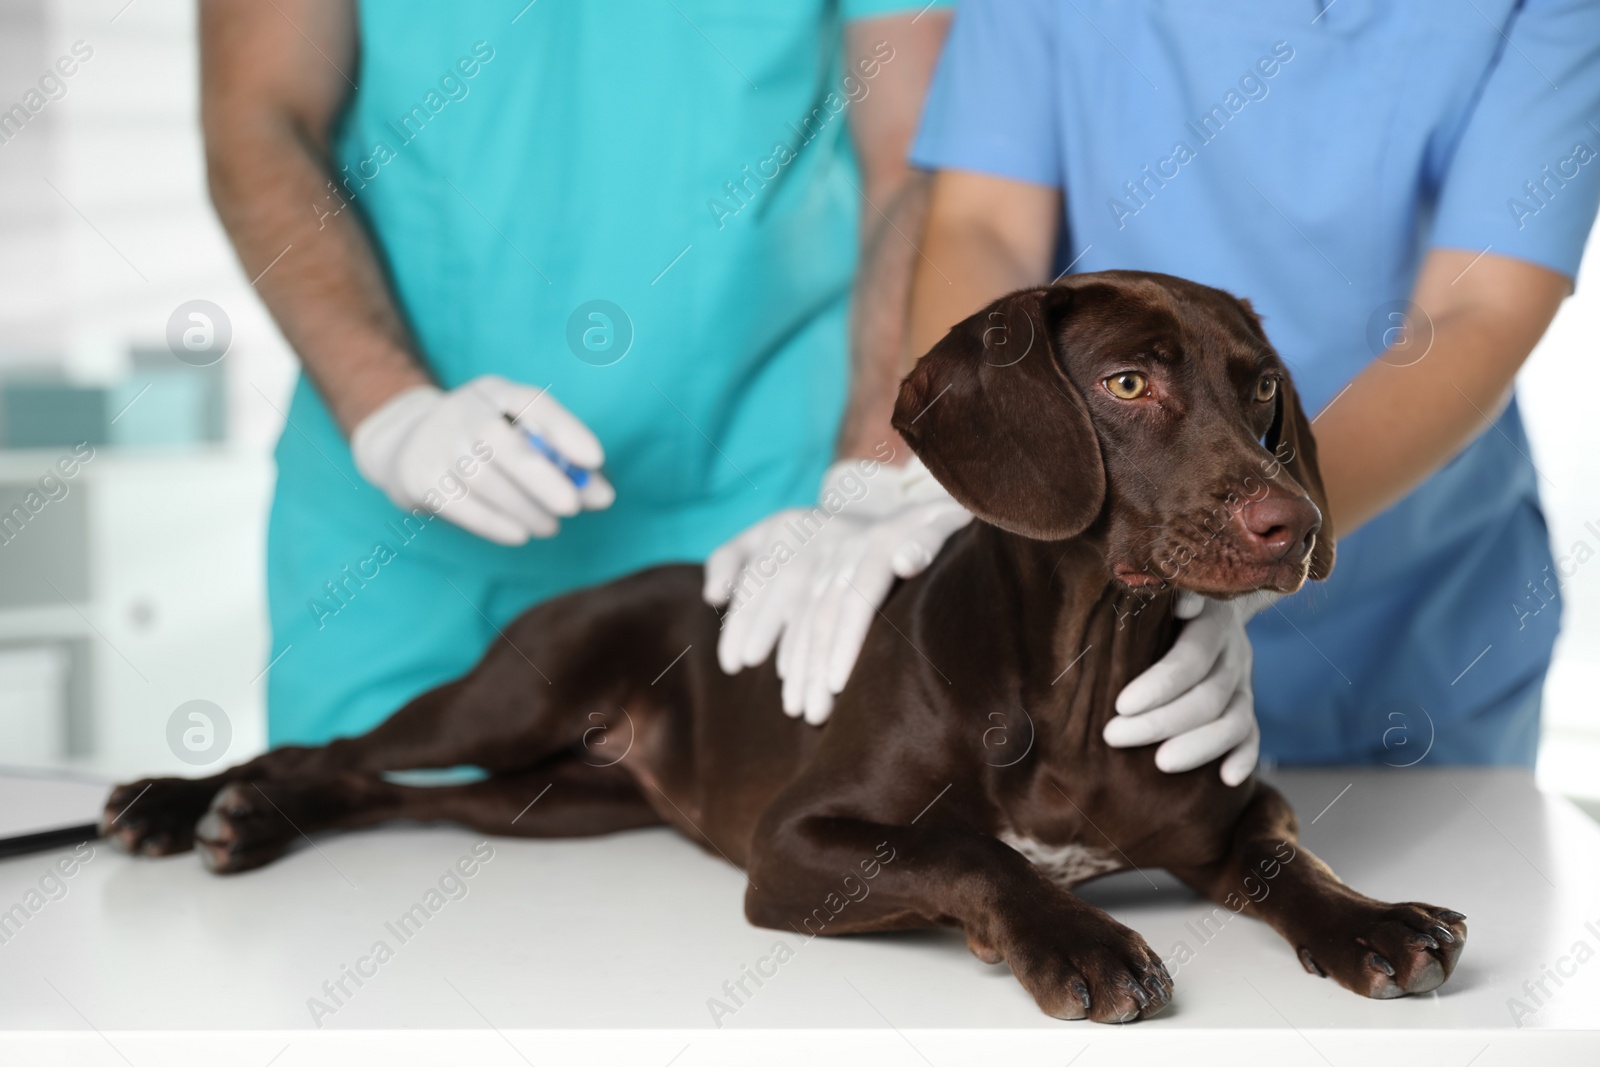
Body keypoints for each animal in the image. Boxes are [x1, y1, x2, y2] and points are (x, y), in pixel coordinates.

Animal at [106, 271, 1465, 1023]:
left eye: (1262, 390)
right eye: (1129, 384)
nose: (1290, 525)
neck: (1086, 673)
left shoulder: (1235, 814)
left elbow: (1292, 861)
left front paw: (1371, 919)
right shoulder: (795, 845)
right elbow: (976, 851)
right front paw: (1075, 938)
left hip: (552, 801)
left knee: (400, 795)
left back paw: (247, 820)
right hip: (510, 697)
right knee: (337, 745)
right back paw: (192, 803)